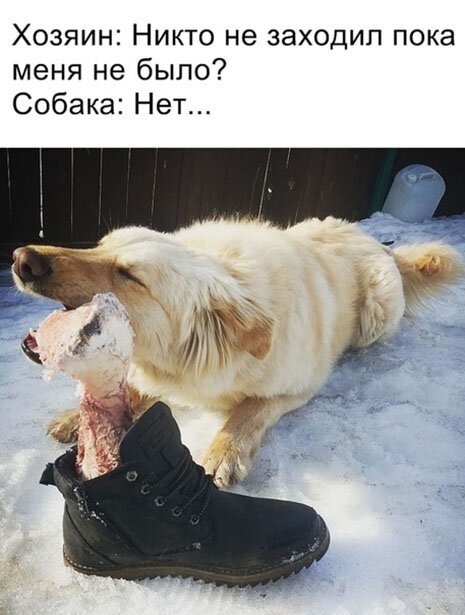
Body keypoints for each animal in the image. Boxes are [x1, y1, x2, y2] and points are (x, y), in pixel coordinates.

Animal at [12, 216, 462, 486]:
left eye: (129, 275)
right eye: (97, 246)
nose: (21, 258)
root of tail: (381, 244)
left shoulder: (298, 387)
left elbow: (250, 410)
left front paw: (223, 451)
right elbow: (136, 389)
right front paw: (75, 417)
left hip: (376, 316)